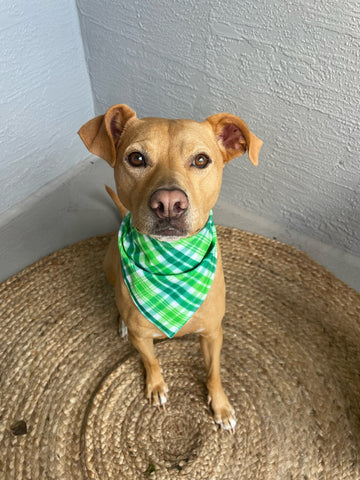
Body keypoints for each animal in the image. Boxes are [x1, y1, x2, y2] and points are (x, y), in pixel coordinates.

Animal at [79, 106, 262, 432]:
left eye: (201, 160)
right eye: (136, 158)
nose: (168, 203)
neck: (172, 264)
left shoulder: (213, 334)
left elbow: (214, 372)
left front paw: (221, 406)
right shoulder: (142, 338)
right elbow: (151, 361)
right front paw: (156, 386)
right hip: (109, 266)